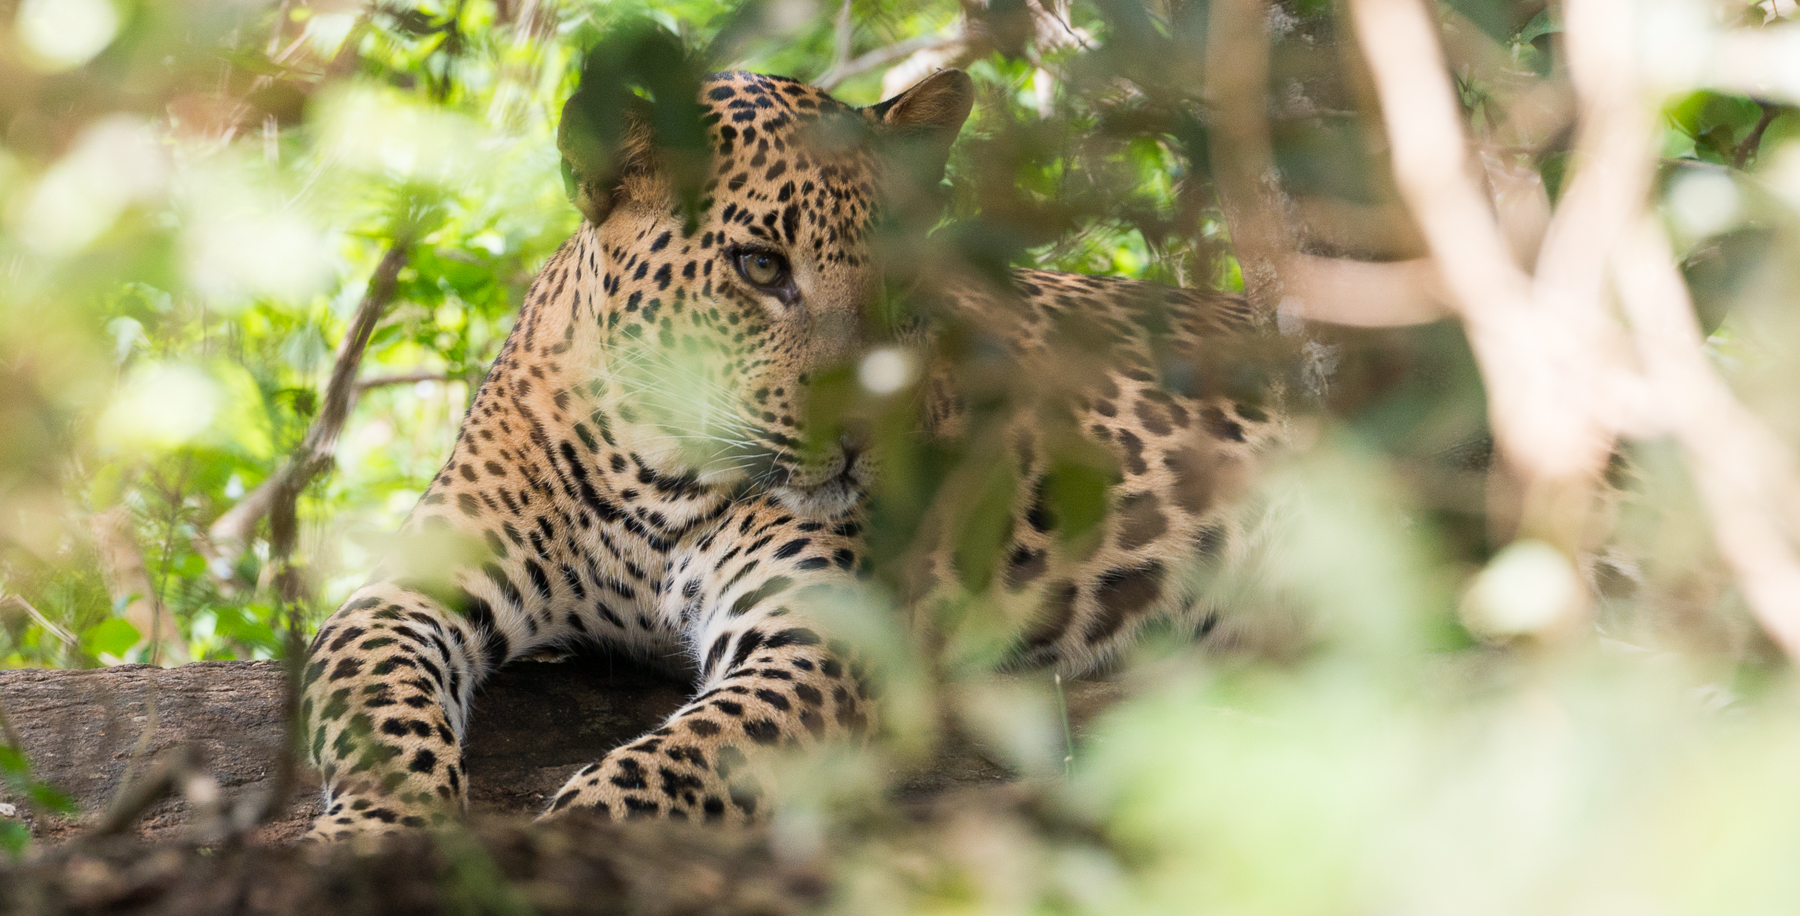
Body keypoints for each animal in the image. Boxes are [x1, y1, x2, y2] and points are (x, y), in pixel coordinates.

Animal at [298, 62, 1281, 835]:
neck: (654, 471)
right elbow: (379, 716)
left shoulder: (814, 637)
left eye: (903, 286)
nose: (864, 436)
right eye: (761, 267)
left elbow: (660, 770)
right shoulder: (405, 591)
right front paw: (369, 838)